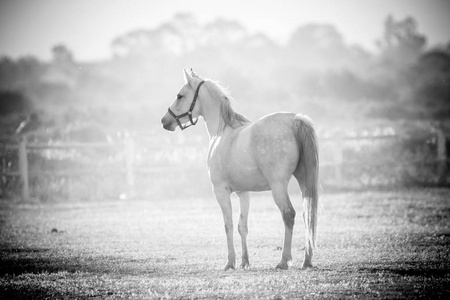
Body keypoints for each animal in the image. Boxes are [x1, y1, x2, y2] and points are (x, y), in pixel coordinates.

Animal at [160, 69, 318, 270]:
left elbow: (227, 224)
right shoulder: (243, 192)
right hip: (304, 180)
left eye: (180, 95)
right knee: (308, 215)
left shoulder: (220, 191)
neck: (222, 132)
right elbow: (242, 226)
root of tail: (295, 120)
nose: (164, 121)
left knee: (288, 214)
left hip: (278, 186)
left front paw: (230, 262)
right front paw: (244, 261)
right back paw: (307, 260)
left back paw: (283, 260)